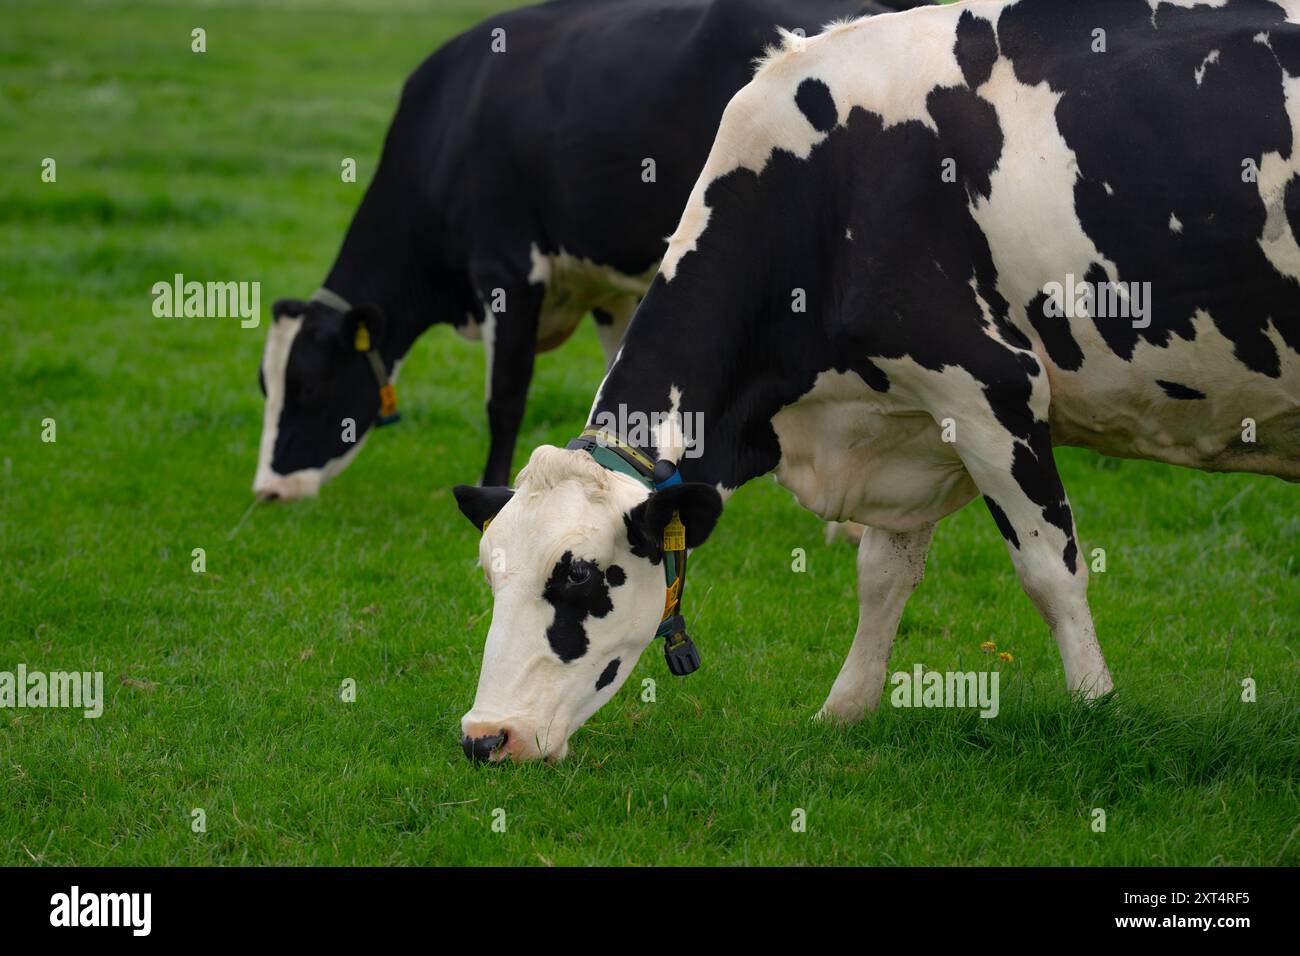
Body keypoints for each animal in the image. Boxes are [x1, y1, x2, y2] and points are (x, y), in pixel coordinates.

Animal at [252, 0, 919, 501]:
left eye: (308, 387)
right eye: (266, 386)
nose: (267, 490)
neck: (448, 122)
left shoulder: (507, 270)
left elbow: (505, 399)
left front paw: (492, 484)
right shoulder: (606, 289)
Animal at [453, 0, 1300, 763]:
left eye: (579, 581)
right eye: (490, 580)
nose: (485, 737)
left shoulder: (992, 390)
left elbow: (1050, 572)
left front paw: (1099, 708)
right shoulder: (910, 418)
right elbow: (881, 578)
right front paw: (844, 711)